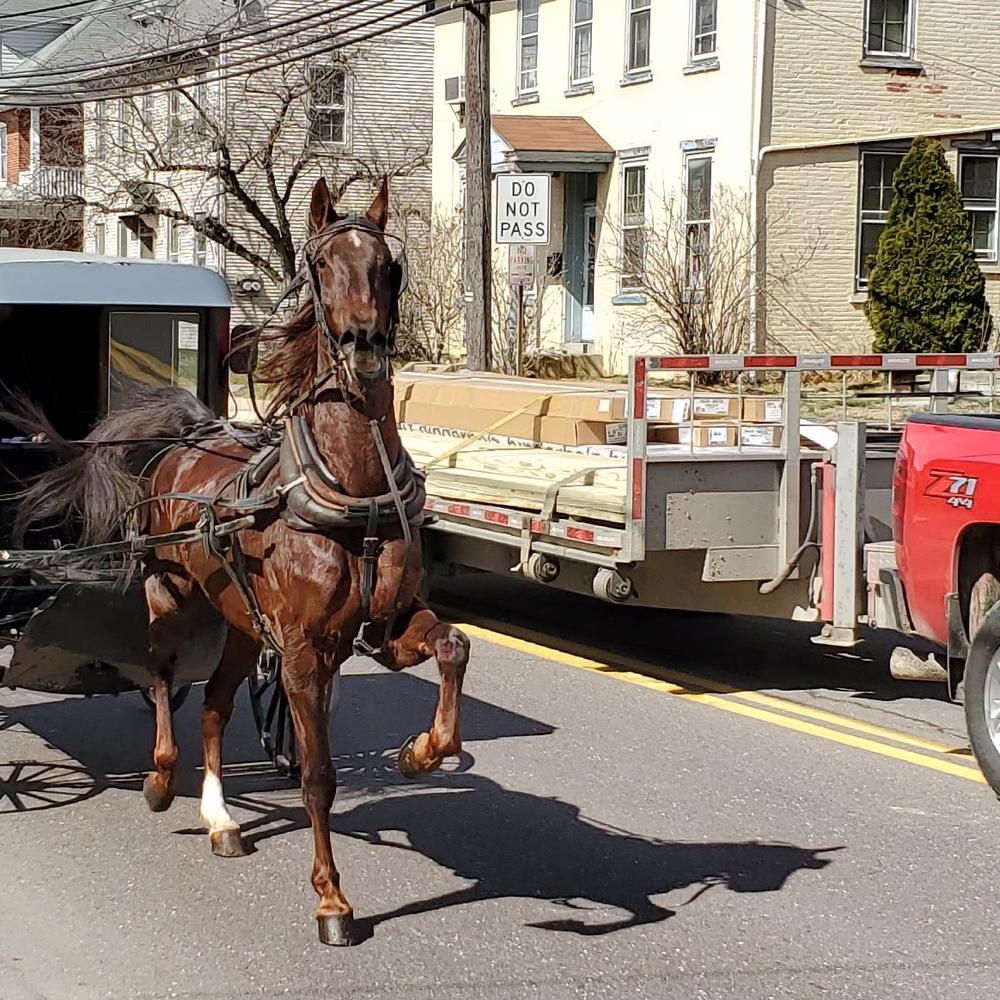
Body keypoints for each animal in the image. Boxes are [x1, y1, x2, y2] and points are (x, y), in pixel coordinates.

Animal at [11, 178, 470, 944]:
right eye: (321, 263)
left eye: (389, 265)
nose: (364, 346)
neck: (352, 484)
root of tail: (184, 435)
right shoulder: (303, 650)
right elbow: (318, 775)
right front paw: (332, 899)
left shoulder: (388, 625)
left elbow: (454, 647)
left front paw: (422, 752)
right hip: (171, 597)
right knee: (162, 679)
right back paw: (161, 779)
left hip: (242, 626)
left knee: (214, 705)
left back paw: (220, 817)